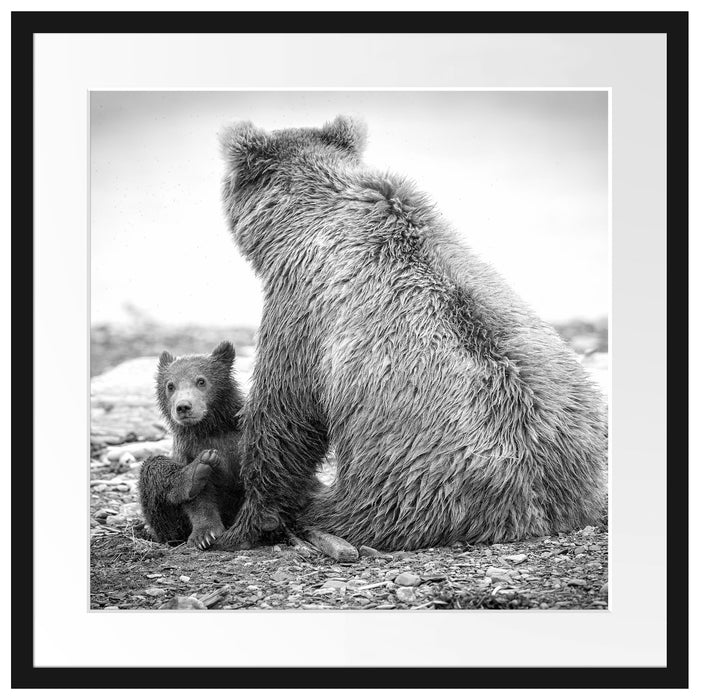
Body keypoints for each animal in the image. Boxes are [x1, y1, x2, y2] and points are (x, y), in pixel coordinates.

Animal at [138, 341, 245, 550]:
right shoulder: (188, 449)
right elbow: (199, 500)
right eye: (170, 385)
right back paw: (195, 472)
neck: (210, 428)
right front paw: (205, 535)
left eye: (201, 381)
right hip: (170, 526)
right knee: (154, 467)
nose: (183, 407)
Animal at [214, 115, 607, 552]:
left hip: (410, 483)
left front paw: (246, 524)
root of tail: (536, 506)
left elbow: (284, 413)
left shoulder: (302, 306)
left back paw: (314, 515)